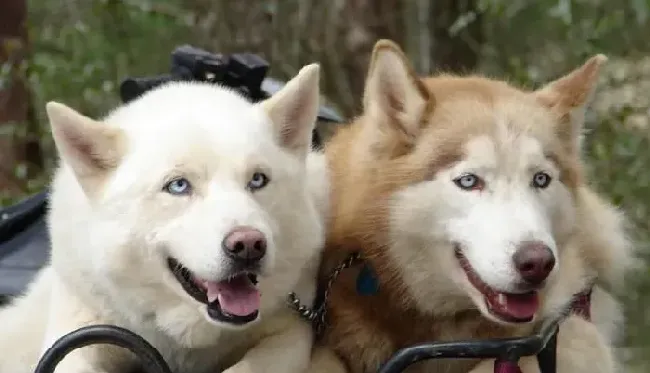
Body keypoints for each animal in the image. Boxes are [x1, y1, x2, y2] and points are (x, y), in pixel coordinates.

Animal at [0, 63, 324, 372]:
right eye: (178, 186)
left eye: (257, 180)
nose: (248, 245)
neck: (183, 342)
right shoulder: (76, 335)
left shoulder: (293, 334)